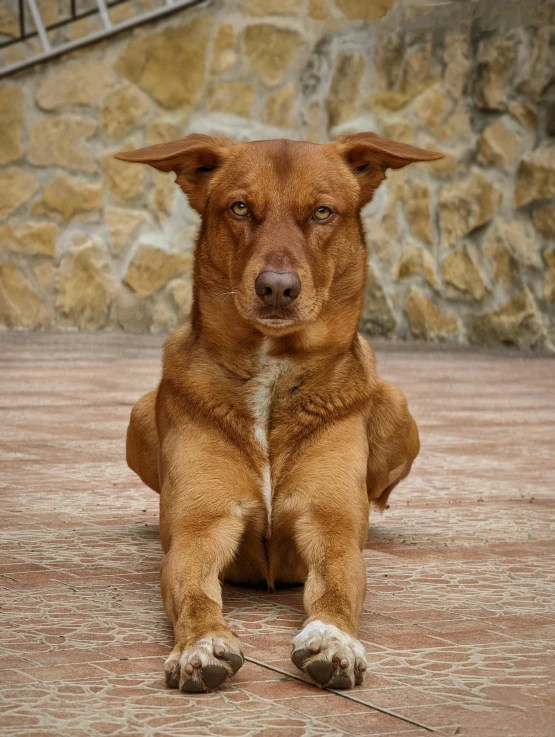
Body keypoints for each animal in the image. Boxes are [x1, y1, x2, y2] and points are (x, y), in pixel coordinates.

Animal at [118, 131, 444, 688]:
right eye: (240, 207)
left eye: (321, 212)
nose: (276, 286)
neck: (271, 375)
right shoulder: (198, 529)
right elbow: (194, 591)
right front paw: (201, 643)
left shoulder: (330, 528)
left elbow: (337, 585)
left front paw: (334, 640)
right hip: (140, 417)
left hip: (396, 407)